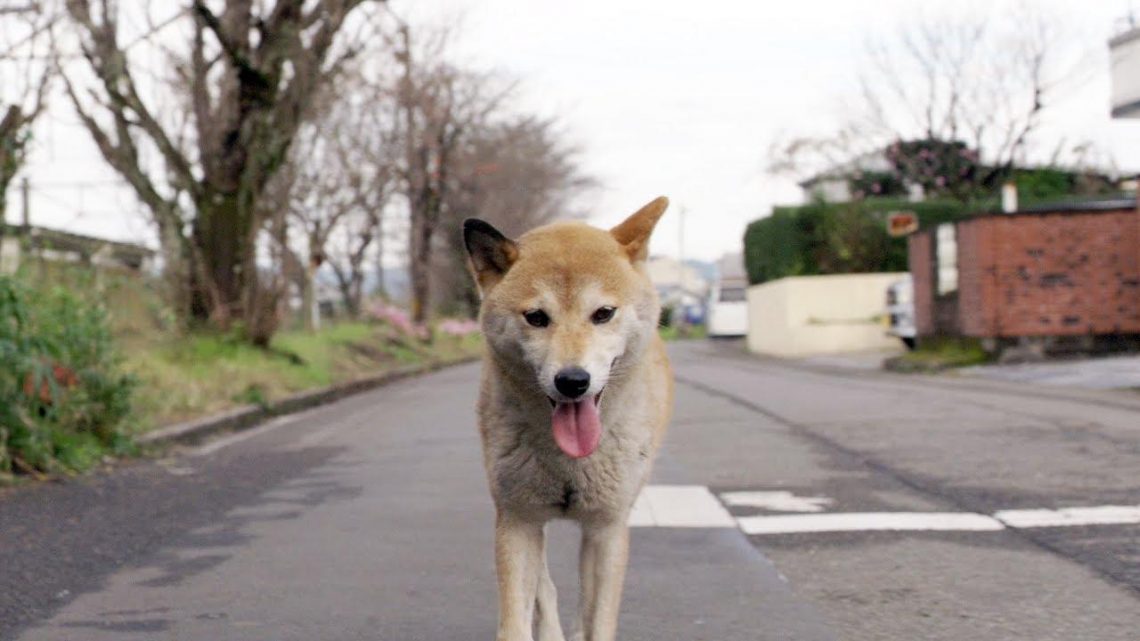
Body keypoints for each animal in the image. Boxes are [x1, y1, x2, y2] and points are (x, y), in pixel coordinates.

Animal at [465, 197, 674, 634]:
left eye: (603, 313)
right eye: (536, 317)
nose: (573, 380)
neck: (569, 460)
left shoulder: (607, 529)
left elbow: (597, 622)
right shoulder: (517, 522)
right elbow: (517, 621)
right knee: (545, 588)